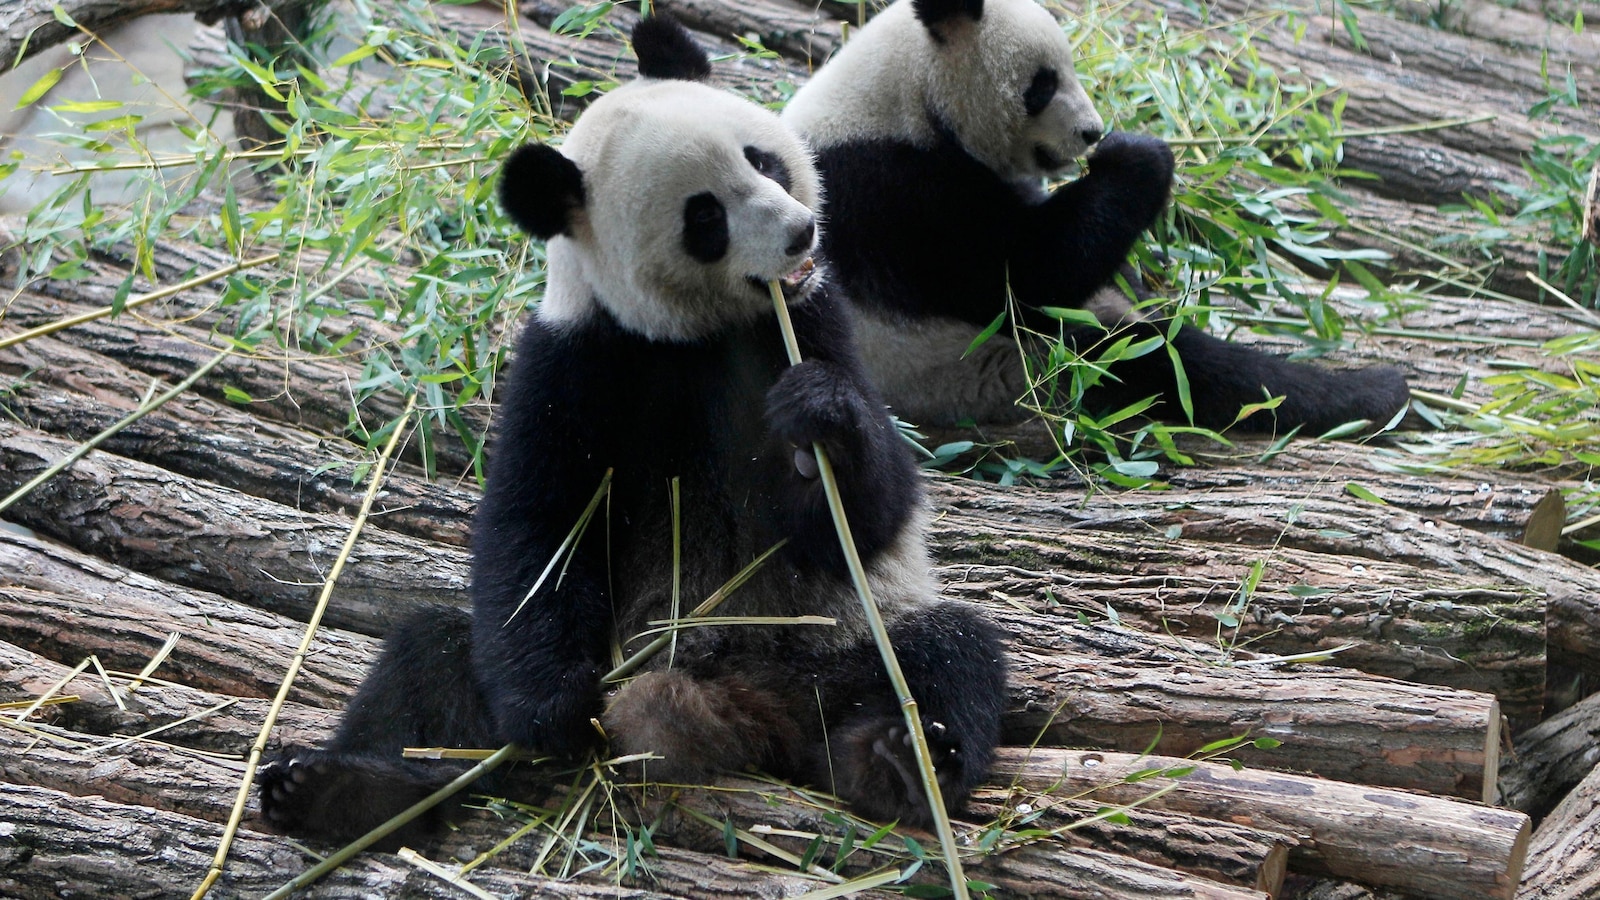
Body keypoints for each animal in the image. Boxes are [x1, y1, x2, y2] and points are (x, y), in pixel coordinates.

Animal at [255, 15, 1007, 846]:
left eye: (762, 159)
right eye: (705, 218)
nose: (800, 232)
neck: (693, 335)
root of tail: (747, 708)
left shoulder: (814, 321)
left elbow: (868, 515)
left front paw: (822, 419)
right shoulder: (574, 362)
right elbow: (537, 530)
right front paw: (555, 715)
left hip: (842, 642)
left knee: (947, 655)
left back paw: (898, 762)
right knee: (429, 657)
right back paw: (340, 789)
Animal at [781, 0, 1410, 433]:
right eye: (1042, 85)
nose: (1091, 132)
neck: (906, 95)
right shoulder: (896, 193)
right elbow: (1024, 275)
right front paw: (1140, 156)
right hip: (1000, 369)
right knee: (1162, 363)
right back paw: (1371, 394)